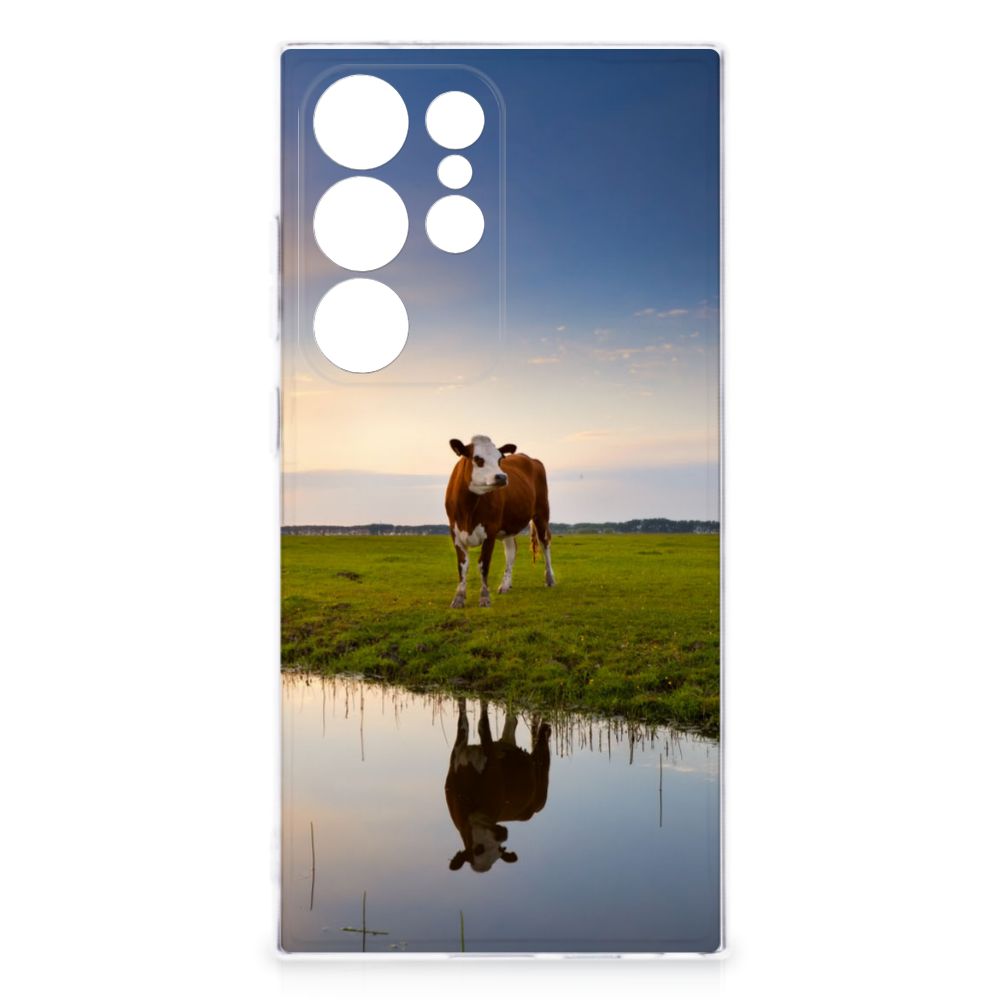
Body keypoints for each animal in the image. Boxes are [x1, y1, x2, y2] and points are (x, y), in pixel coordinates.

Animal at [445, 435, 555, 609]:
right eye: (477, 459)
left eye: (500, 459)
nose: (502, 477)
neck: (468, 509)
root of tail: (530, 458)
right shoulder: (455, 533)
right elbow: (462, 566)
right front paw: (459, 598)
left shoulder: (490, 531)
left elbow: (483, 564)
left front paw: (484, 597)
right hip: (508, 526)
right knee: (511, 550)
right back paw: (505, 585)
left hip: (542, 513)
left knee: (545, 543)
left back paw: (549, 579)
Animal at [445, 698, 551, 873]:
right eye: (478, 849)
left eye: (500, 850)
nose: (503, 834)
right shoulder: (457, 754)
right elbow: (463, 721)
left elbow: (482, 724)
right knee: (512, 721)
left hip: (541, 779)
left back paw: (546, 727)